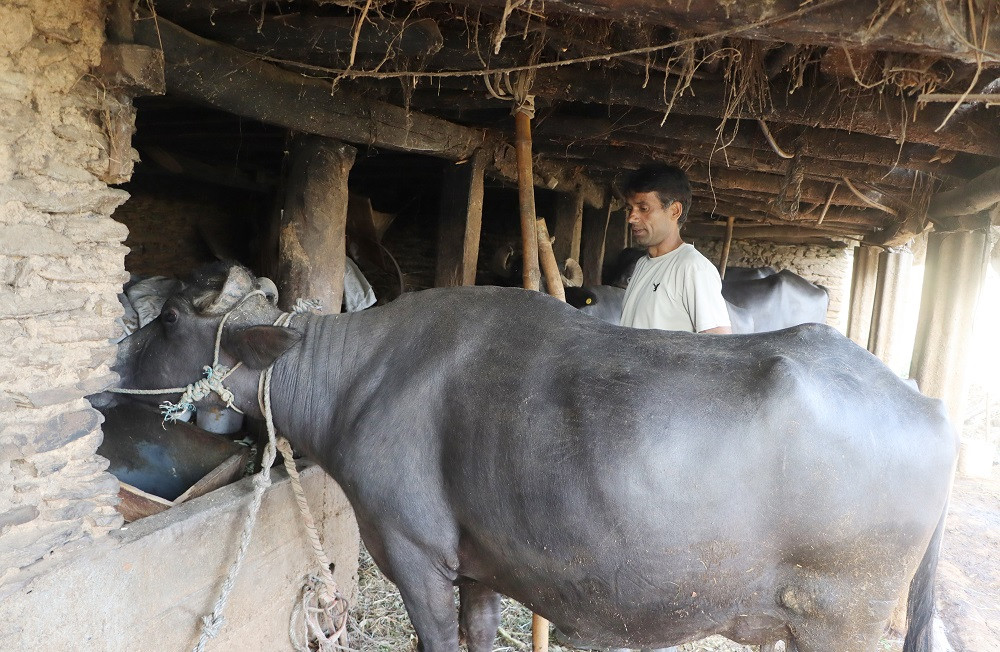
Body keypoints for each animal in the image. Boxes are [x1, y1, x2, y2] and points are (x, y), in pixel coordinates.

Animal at [105, 264, 956, 652]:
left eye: (171, 317)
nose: (109, 376)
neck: (358, 378)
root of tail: (934, 411)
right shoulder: (483, 567)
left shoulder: (412, 555)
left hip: (842, 620)